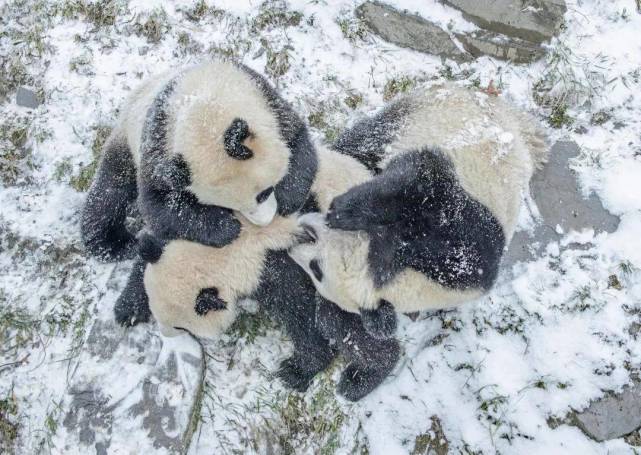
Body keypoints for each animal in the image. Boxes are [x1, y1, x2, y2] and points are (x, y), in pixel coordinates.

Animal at [140, 146, 400, 400]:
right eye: (155, 312)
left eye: (181, 327)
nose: (165, 334)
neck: (219, 254)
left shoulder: (276, 266)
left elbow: (304, 315)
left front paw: (294, 371)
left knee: (343, 322)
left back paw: (361, 378)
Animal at [288, 82, 544, 340]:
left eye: (316, 270)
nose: (291, 249)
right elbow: (422, 174)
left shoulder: (465, 261)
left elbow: (424, 180)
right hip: (419, 116)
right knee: (365, 140)